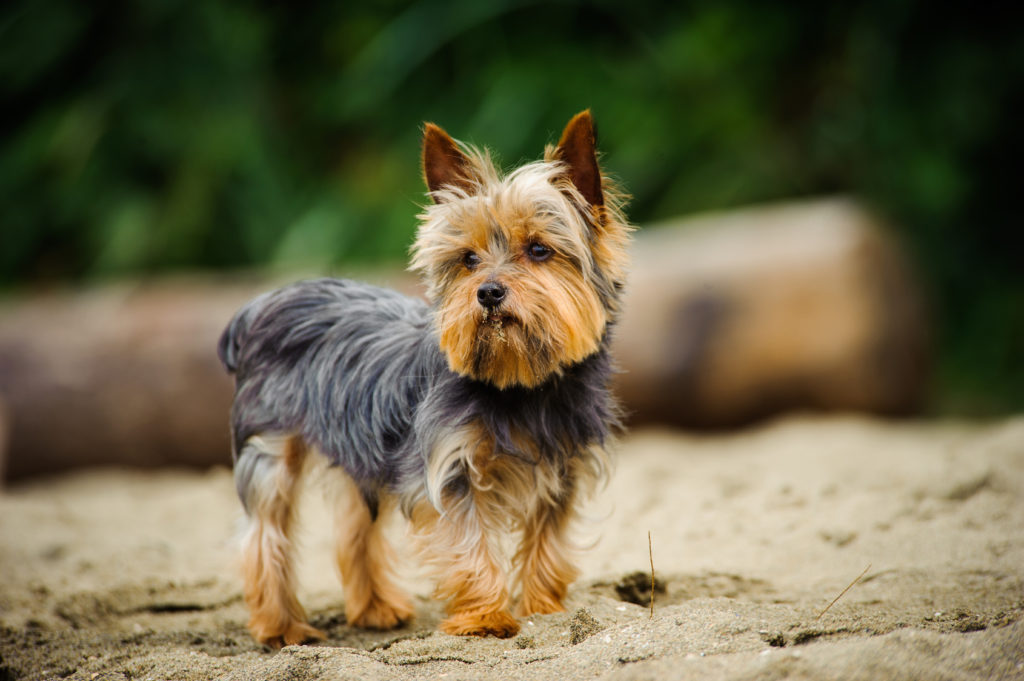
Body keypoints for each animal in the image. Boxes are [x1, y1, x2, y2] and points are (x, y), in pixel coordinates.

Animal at [220, 109, 626, 647]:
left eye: (539, 249)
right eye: (469, 259)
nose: (488, 292)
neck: (521, 385)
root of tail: (260, 304)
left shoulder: (563, 469)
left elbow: (548, 542)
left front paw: (545, 607)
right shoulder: (450, 469)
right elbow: (470, 543)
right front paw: (485, 618)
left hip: (358, 445)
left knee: (355, 529)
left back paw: (374, 609)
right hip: (271, 448)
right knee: (265, 535)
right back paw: (282, 626)